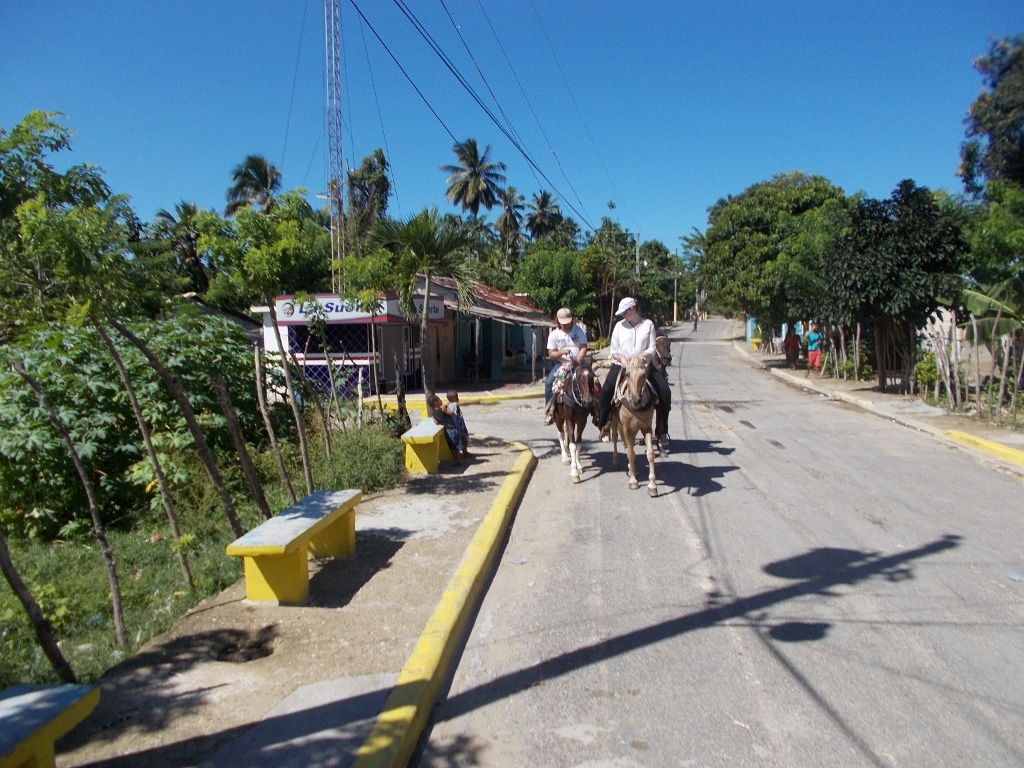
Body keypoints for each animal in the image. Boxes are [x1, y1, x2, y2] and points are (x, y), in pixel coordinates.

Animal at [609, 356, 659, 496]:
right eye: (627, 374)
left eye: (644, 374)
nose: (636, 400)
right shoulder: (626, 427)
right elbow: (631, 453)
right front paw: (633, 481)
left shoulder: (646, 428)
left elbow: (650, 454)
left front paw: (652, 485)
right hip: (615, 423)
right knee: (616, 439)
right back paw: (616, 462)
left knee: (626, 444)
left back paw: (632, 469)